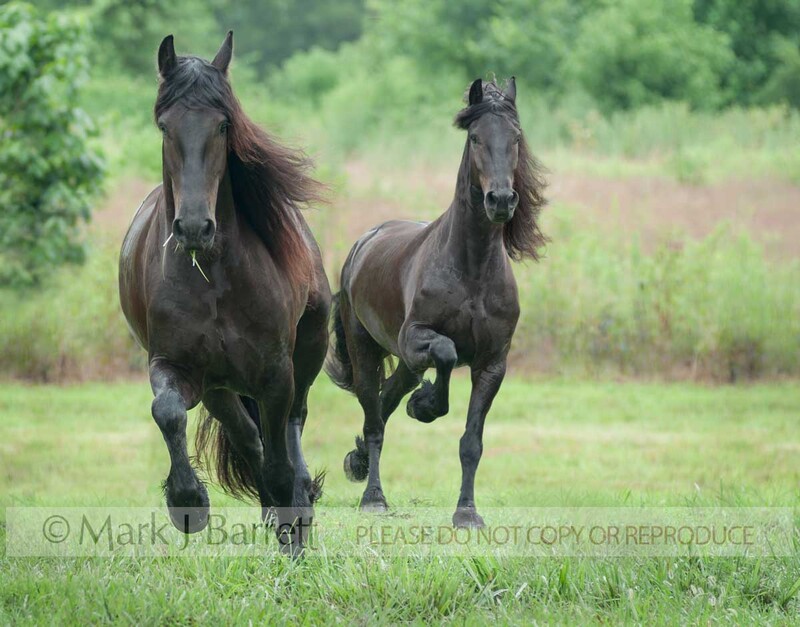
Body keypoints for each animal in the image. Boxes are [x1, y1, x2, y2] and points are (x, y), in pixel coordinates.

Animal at [118, 32, 331, 552]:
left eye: (222, 125)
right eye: (164, 126)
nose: (195, 227)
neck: (213, 276)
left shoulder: (276, 375)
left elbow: (279, 465)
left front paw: (294, 541)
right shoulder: (174, 365)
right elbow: (167, 411)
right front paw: (188, 502)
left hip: (307, 354)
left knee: (290, 431)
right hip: (219, 389)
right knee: (249, 439)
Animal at [326, 78, 546, 527]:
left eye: (516, 137)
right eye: (475, 137)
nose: (501, 200)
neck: (472, 270)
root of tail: (363, 243)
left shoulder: (492, 364)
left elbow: (471, 442)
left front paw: (467, 513)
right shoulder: (416, 338)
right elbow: (445, 352)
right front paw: (425, 406)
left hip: (407, 365)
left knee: (386, 403)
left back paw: (359, 459)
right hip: (366, 350)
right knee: (374, 418)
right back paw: (373, 497)